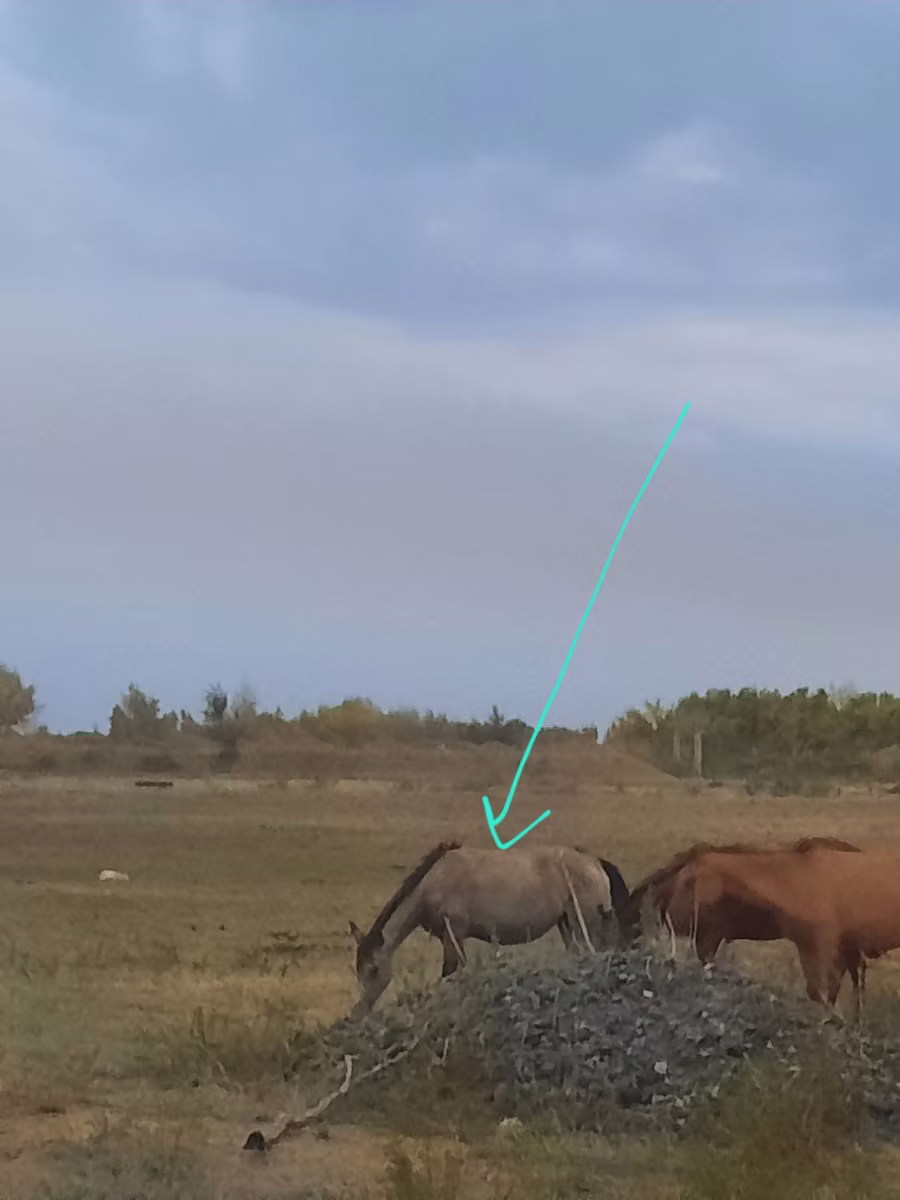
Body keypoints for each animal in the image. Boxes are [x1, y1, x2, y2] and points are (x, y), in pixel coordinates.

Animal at [347, 841, 628, 1015]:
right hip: (567, 924)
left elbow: (450, 972)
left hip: (587, 923)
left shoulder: (454, 934)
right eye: (358, 971)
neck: (433, 883)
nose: (358, 1011)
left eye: (373, 969)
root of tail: (595, 862)